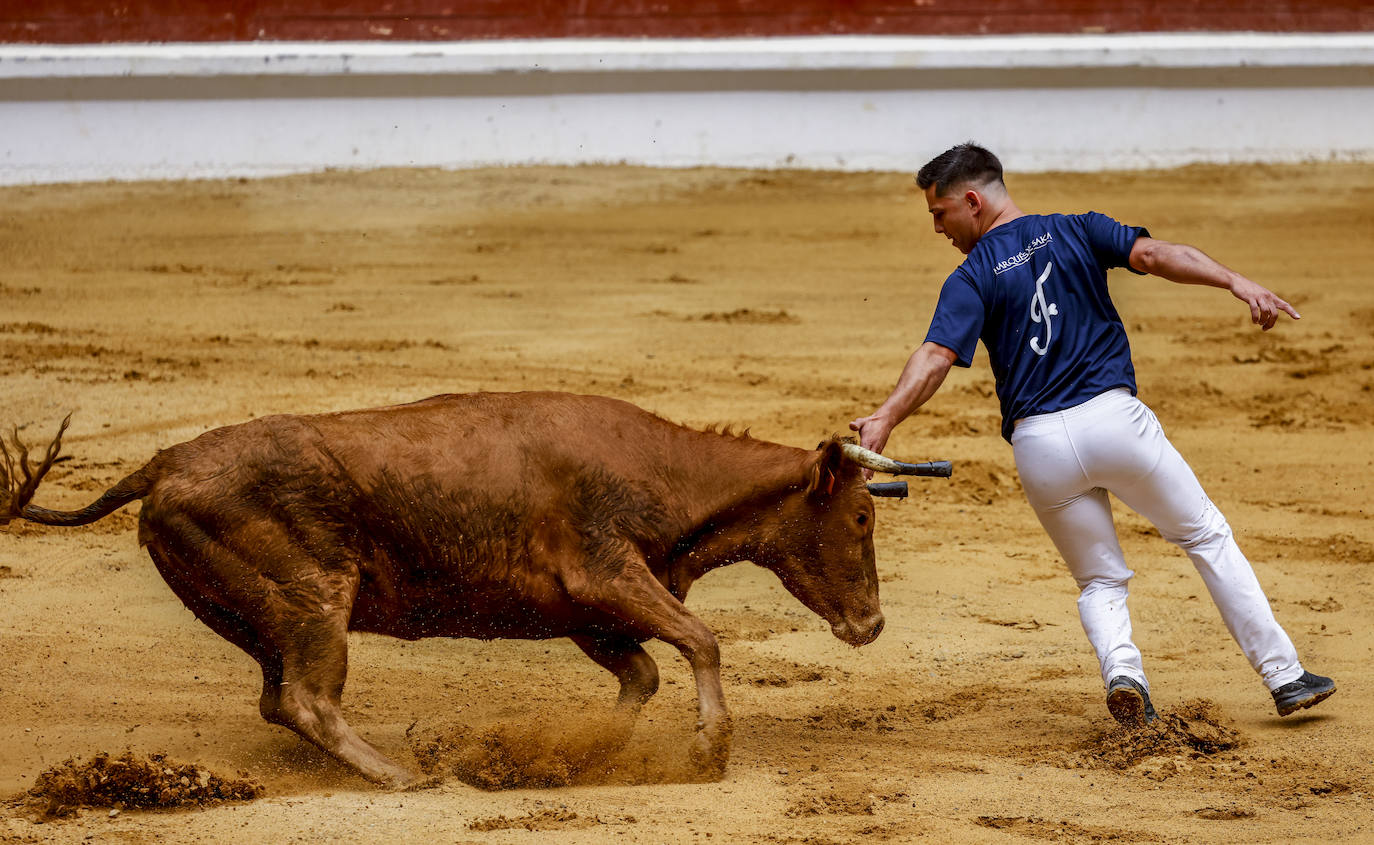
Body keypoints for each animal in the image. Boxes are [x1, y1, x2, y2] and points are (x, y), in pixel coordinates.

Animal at [0, 392, 895, 791]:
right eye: (860, 517)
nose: (873, 623)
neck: (669, 473)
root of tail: (165, 460)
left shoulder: (588, 610)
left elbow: (642, 673)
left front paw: (580, 754)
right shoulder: (606, 573)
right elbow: (701, 638)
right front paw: (710, 749)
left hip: (267, 614)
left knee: (277, 696)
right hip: (317, 598)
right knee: (309, 699)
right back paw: (402, 777)